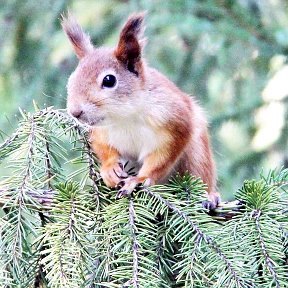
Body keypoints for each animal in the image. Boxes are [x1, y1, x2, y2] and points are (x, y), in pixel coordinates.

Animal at [61, 11, 220, 209]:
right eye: (71, 78)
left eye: (109, 80)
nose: (75, 112)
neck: (125, 117)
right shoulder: (100, 131)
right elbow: (104, 148)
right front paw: (109, 168)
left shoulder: (175, 120)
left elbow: (162, 158)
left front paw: (139, 179)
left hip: (197, 154)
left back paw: (210, 197)